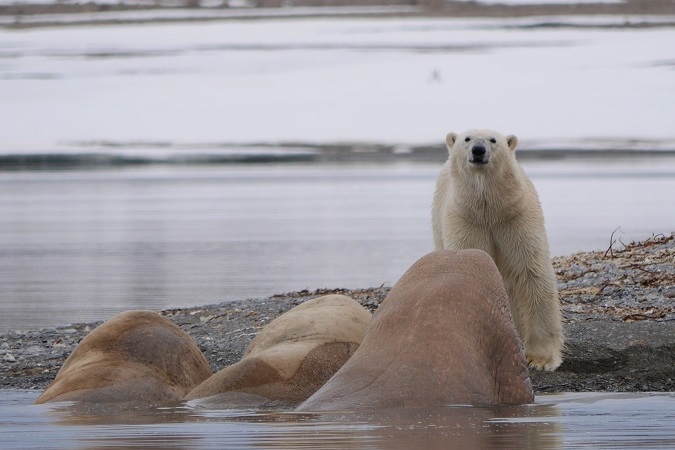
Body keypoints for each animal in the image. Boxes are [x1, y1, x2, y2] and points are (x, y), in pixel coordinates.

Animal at [434, 128, 564, 370]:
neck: (490, 210)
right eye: (467, 138)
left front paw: (541, 359)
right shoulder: (466, 220)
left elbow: (531, 272)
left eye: (493, 140)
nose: (478, 150)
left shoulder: (516, 218)